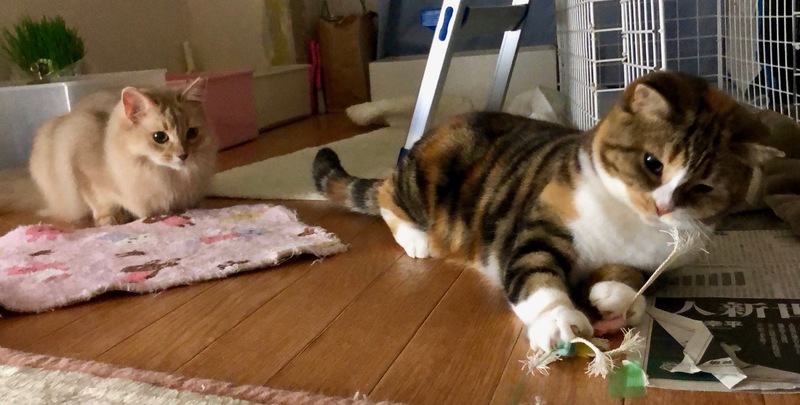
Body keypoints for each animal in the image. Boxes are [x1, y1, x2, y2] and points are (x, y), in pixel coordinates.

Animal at [27, 78, 217, 226]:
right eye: (160, 137)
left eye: (191, 133)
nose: (184, 155)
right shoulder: (79, 161)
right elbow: (98, 200)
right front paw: (109, 218)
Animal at [312, 71, 785, 352]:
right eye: (653, 163)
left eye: (703, 187)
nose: (662, 205)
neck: (626, 224)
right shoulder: (538, 227)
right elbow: (536, 270)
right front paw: (559, 320)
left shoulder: (658, 257)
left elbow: (633, 275)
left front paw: (617, 294)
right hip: (430, 175)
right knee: (386, 193)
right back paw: (415, 237)